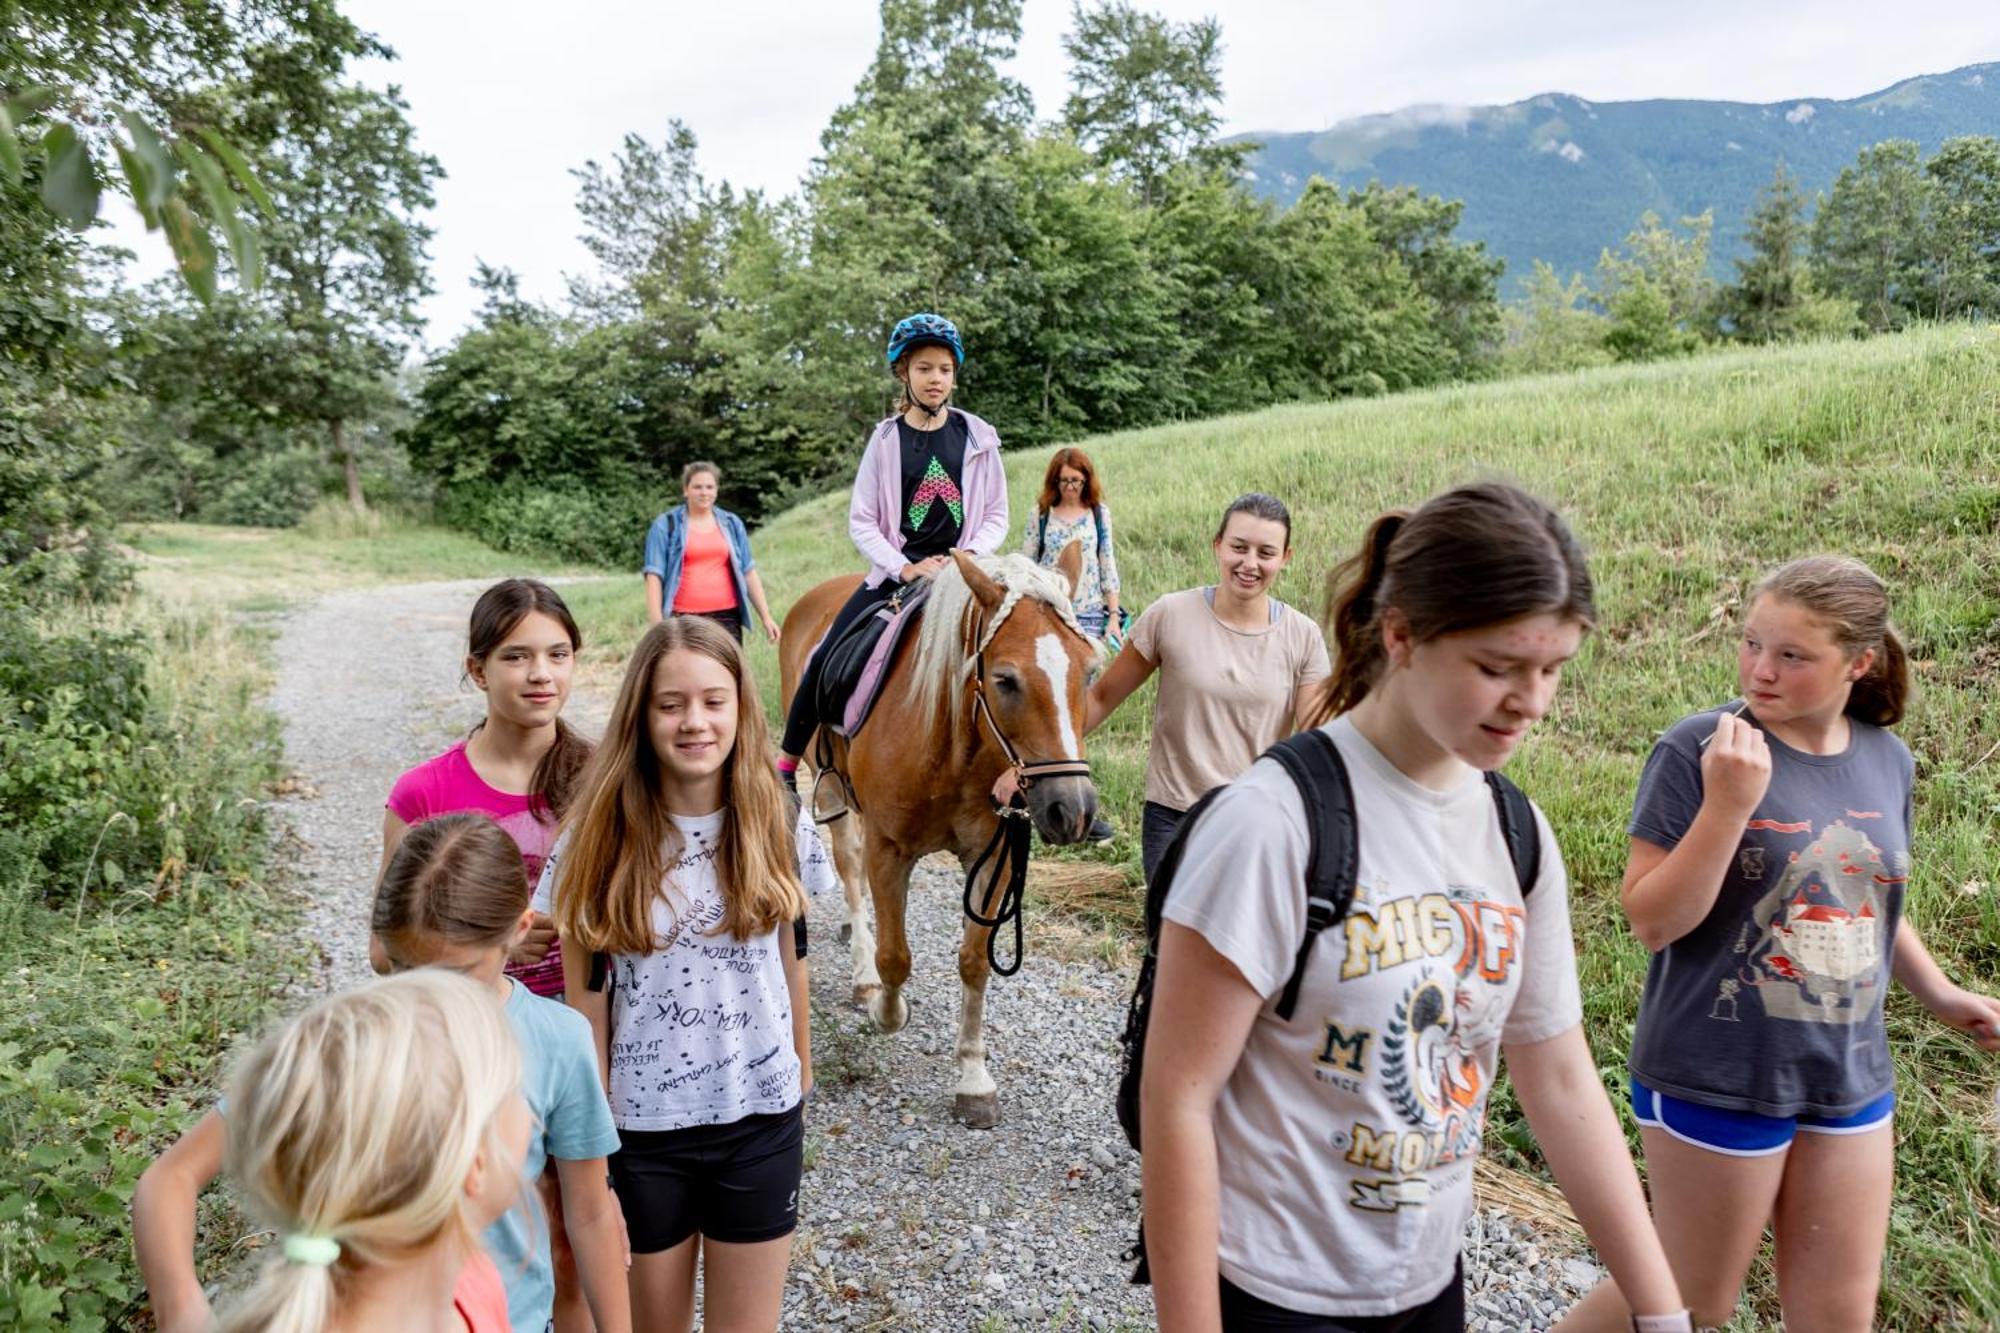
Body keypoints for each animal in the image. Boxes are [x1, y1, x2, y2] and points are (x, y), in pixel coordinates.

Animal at [776, 540, 1096, 1120]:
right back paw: (862, 974)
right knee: (850, 871)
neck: (951, 744)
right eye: (1005, 679)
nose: (1074, 809)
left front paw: (973, 1077)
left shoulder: (994, 857)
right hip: (831, 792)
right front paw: (886, 1010)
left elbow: (974, 963)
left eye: (1088, 671)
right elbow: (895, 956)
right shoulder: (889, 849)